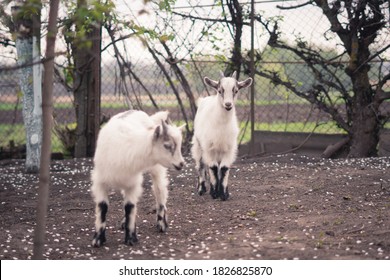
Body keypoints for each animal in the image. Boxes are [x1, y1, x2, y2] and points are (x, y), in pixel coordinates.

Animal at [90, 110, 185, 246]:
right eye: (167, 145)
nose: (181, 164)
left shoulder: (133, 184)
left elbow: (130, 207)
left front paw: (130, 238)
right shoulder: (100, 181)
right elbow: (102, 206)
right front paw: (98, 239)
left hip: (156, 168)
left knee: (160, 190)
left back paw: (162, 222)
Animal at [192, 71, 253, 200]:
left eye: (236, 90)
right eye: (220, 90)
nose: (228, 104)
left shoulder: (229, 149)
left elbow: (224, 168)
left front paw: (224, 193)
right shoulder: (209, 148)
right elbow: (213, 167)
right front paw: (215, 193)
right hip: (198, 145)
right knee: (201, 165)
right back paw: (201, 188)